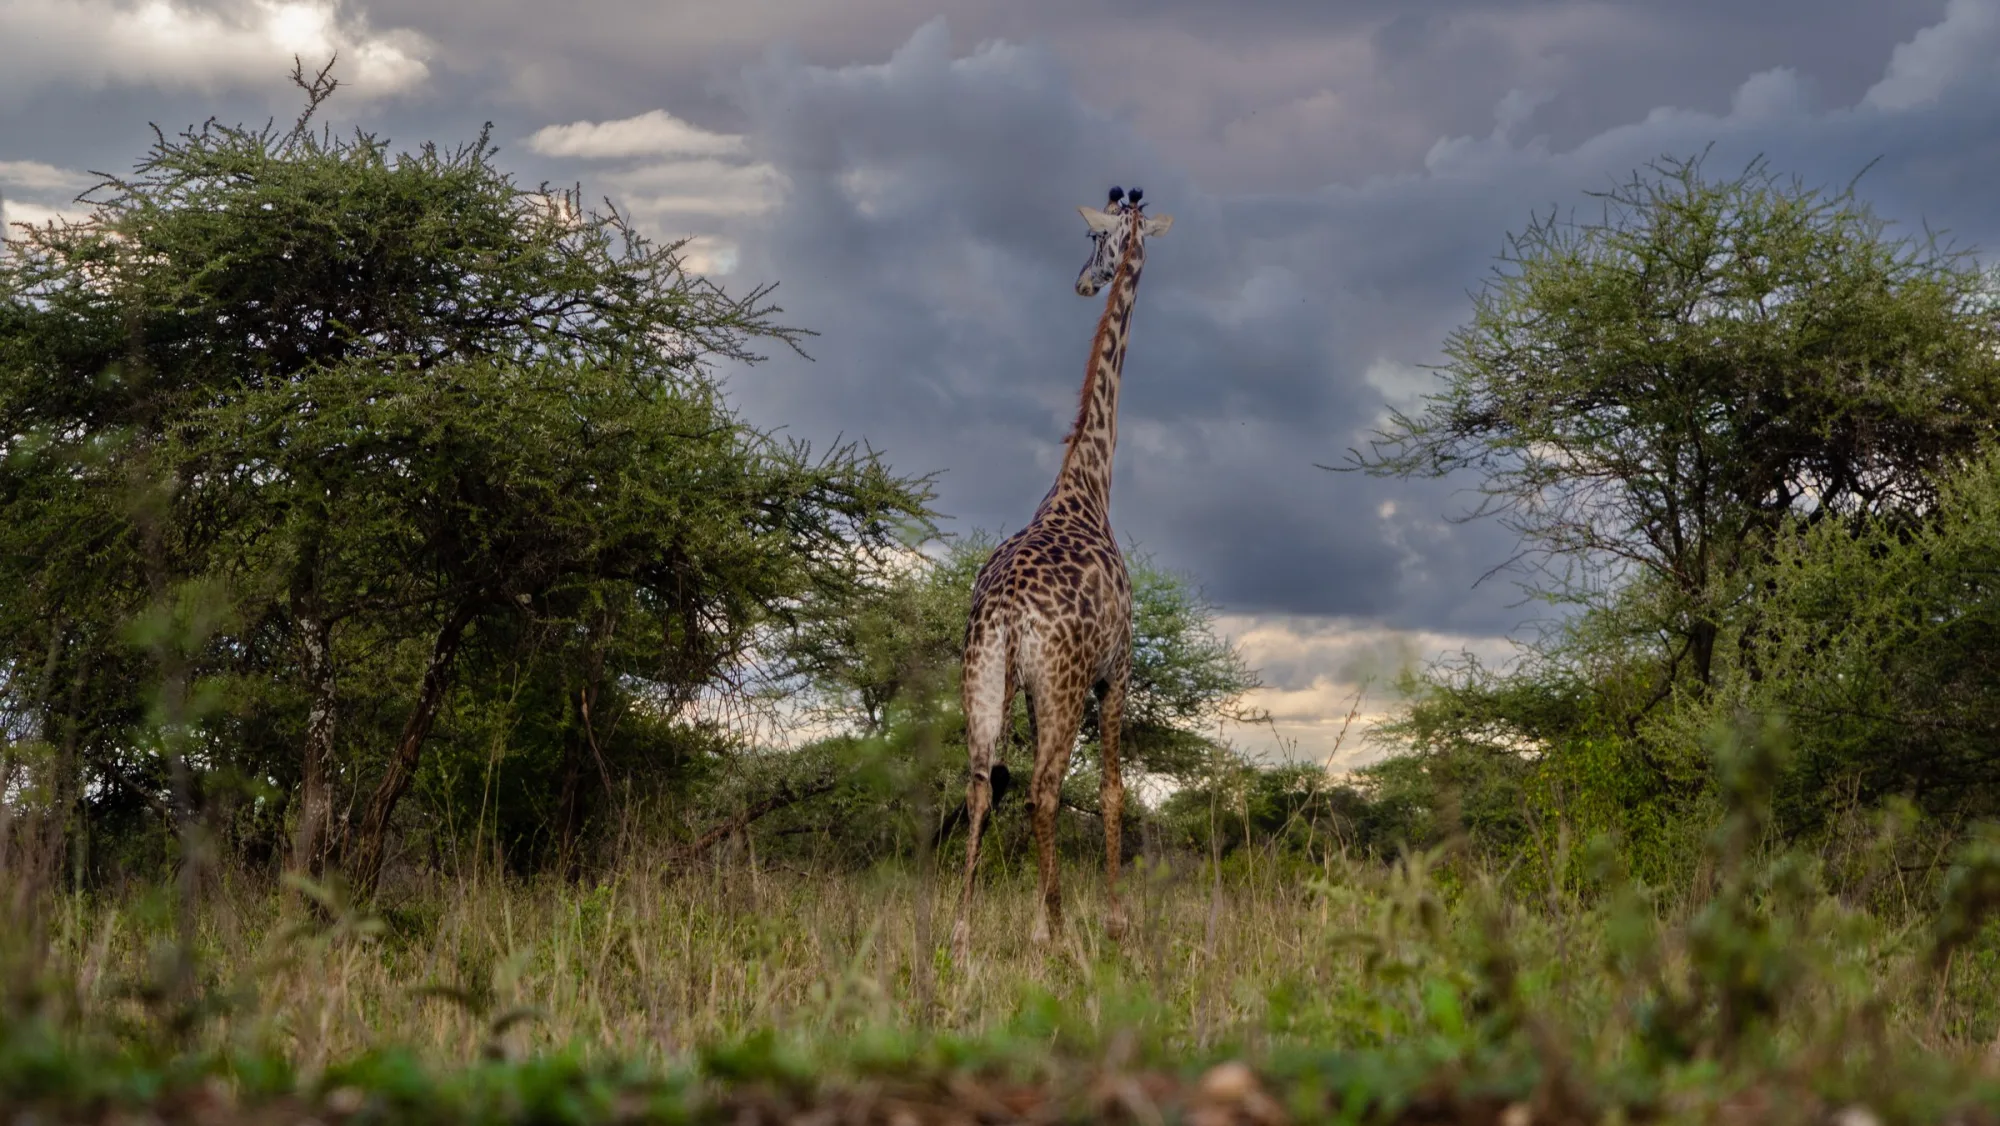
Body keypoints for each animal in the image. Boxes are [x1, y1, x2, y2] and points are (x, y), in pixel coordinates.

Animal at [950, 185, 1173, 961]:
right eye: (1096, 240)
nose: (1082, 282)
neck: (1087, 484)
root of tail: (1009, 613)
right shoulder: (1119, 669)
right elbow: (1111, 793)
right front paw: (1115, 922)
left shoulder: (1027, 688)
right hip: (1067, 682)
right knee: (1044, 788)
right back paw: (1056, 926)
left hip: (985, 674)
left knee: (981, 783)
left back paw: (961, 930)